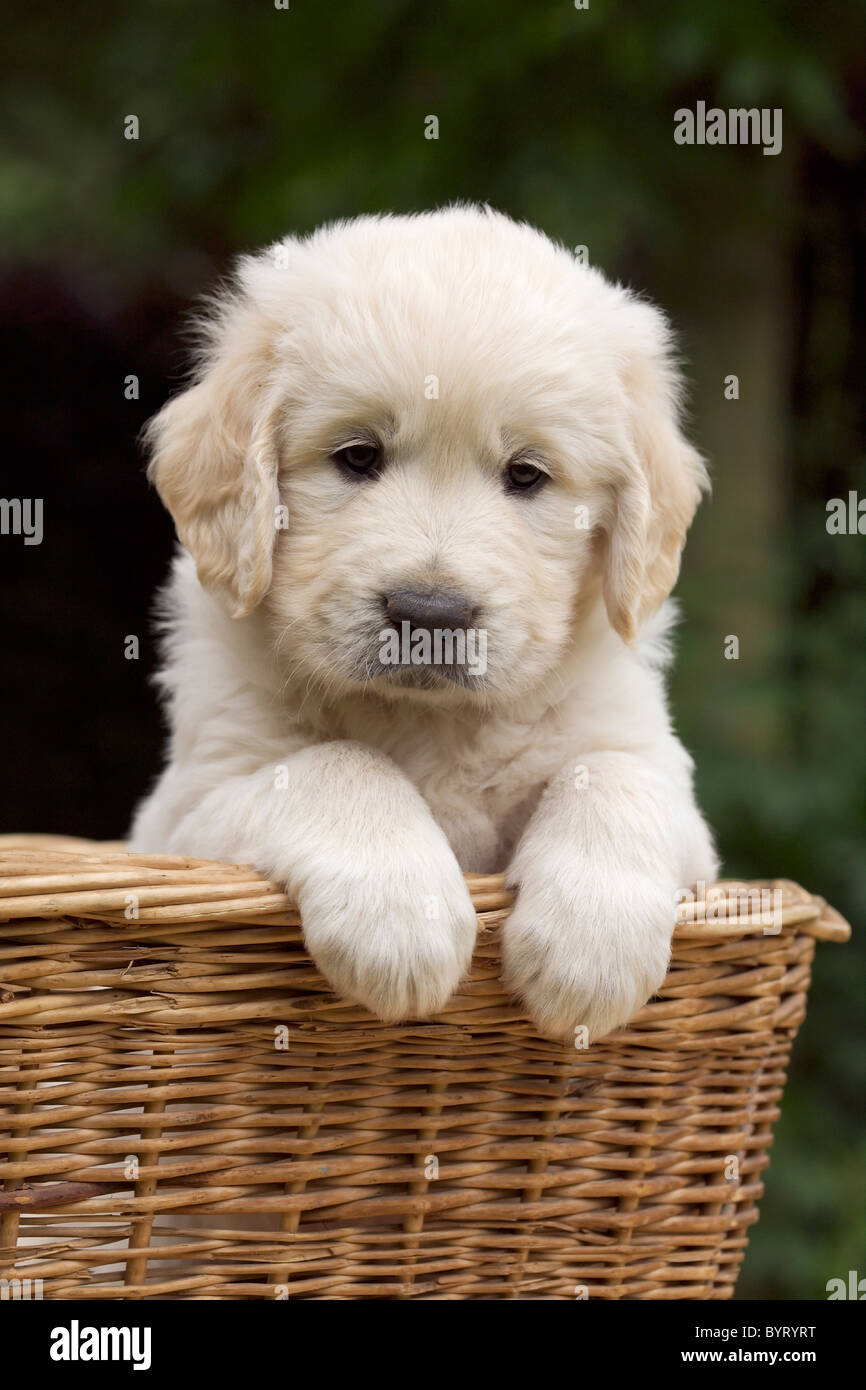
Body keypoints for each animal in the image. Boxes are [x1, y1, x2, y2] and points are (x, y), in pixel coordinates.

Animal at [132, 202, 717, 1034]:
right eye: (357, 456)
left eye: (527, 475)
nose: (428, 612)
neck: (432, 721)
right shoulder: (191, 809)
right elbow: (336, 763)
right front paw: (402, 919)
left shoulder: (665, 786)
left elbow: (612, 774)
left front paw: (591, 950)